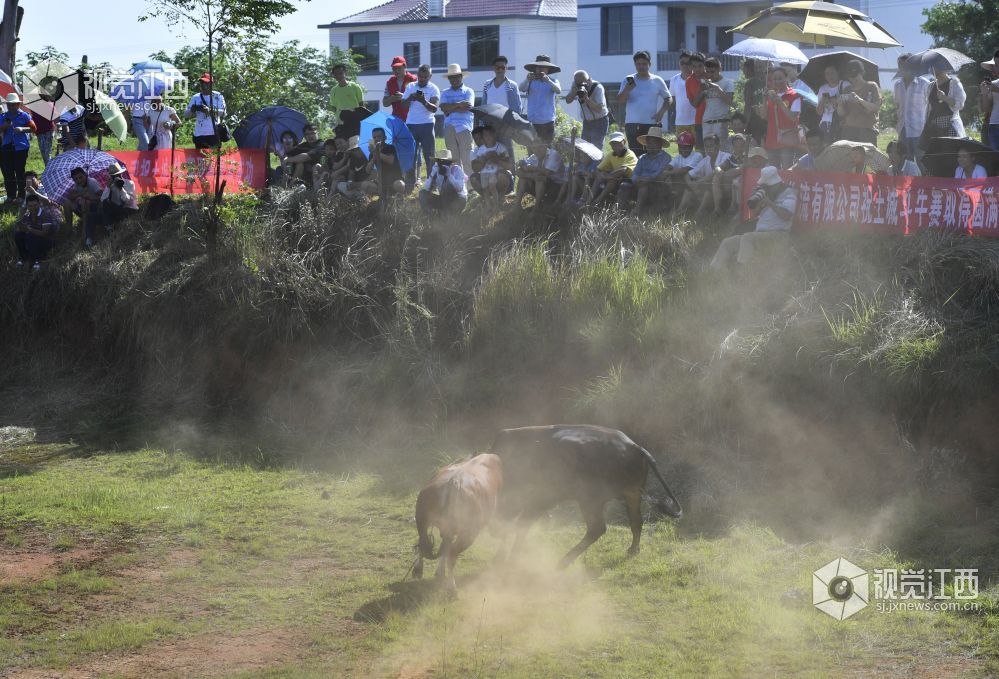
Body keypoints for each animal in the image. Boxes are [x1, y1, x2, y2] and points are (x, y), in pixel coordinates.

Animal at [414, 452, 504, 588]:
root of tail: (454, 482)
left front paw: (439, 572)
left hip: (422, 520)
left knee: (423, 543)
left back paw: (418, 570)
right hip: (469, 533)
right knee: (451, 554)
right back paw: (452, 587)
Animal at [490, 424, 684, 568]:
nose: (494, 531)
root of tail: (634, 446)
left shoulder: (537, 500)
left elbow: (521, 525)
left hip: (590, 500)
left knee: (597, 528)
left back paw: (563, 562)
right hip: (632, 495)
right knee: (636, 522)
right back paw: (632, 550)